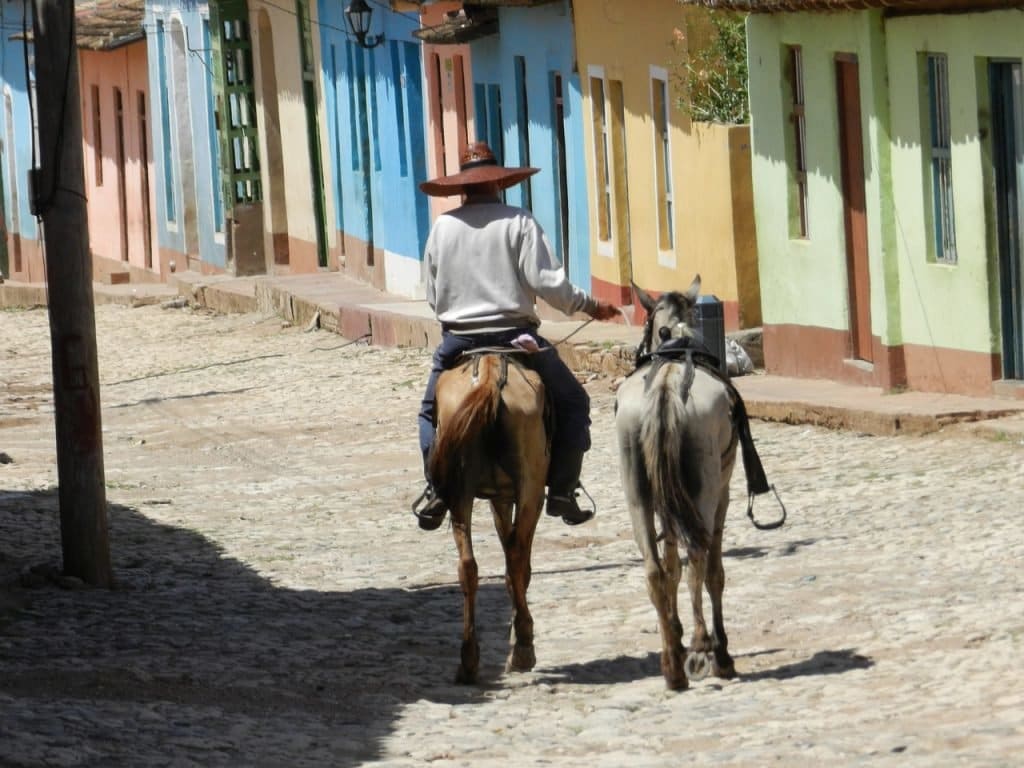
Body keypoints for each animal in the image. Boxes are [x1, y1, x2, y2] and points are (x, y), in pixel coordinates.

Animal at [425, 350, 552, 684]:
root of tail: (490, 378)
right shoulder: (510, 498)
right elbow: (518, 564)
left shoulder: (500, 497)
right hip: (531, 489)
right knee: (517, 557)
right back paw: (522, 648)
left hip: (460, 491)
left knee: (468, 567)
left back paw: (469, 661)